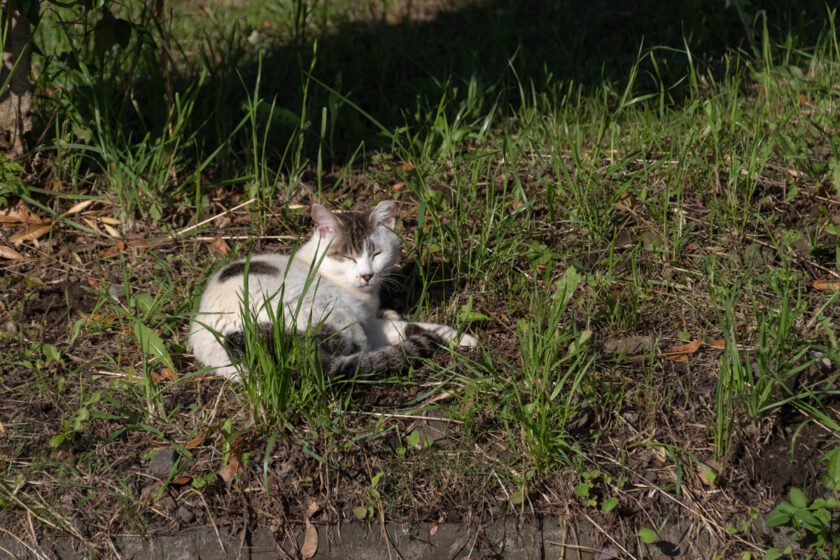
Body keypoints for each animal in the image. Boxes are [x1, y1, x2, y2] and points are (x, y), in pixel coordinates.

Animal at [191, 200, 480, 380]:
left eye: (376, 253)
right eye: (347, 257)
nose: (367, 275)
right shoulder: (361, 319)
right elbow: (410, 327)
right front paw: (459, 338)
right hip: (330, 313)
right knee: (361, 353)